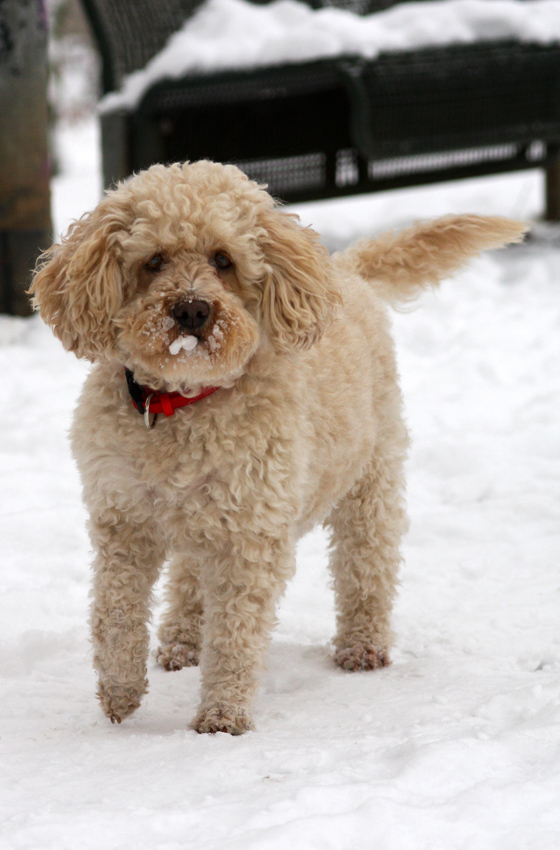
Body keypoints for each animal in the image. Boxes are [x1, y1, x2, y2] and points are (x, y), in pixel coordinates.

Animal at [30, 162, 528, 732]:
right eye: (153, 260)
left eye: (223, 259)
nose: (192, 310)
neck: (184, 404)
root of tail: (346, 272)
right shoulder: (123, 519)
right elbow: (115, 614)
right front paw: (119, 693)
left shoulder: (249, 534)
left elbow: (234, 633)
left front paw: (222, 715)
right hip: (200, 519)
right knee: (188, 576)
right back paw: (181, 640)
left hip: (369, 481)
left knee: (368, 566)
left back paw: (362, 645)